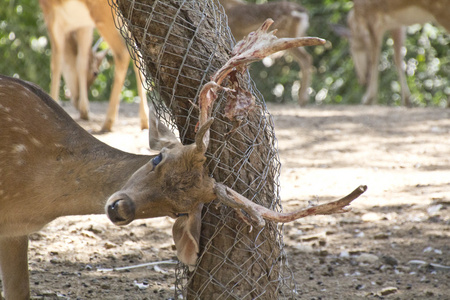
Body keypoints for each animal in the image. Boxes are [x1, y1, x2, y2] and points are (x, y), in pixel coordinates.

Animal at [39, 0, 149, 131]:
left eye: (96, 73)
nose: (76, 100)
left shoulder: (51, 16)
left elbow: (56, 63)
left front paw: (55, 102)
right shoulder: (84, 27)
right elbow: (81, 62)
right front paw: (84, 111)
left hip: (104, 15)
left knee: (122, 52)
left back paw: (107, 122)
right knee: (137, 53)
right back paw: (144, 121)